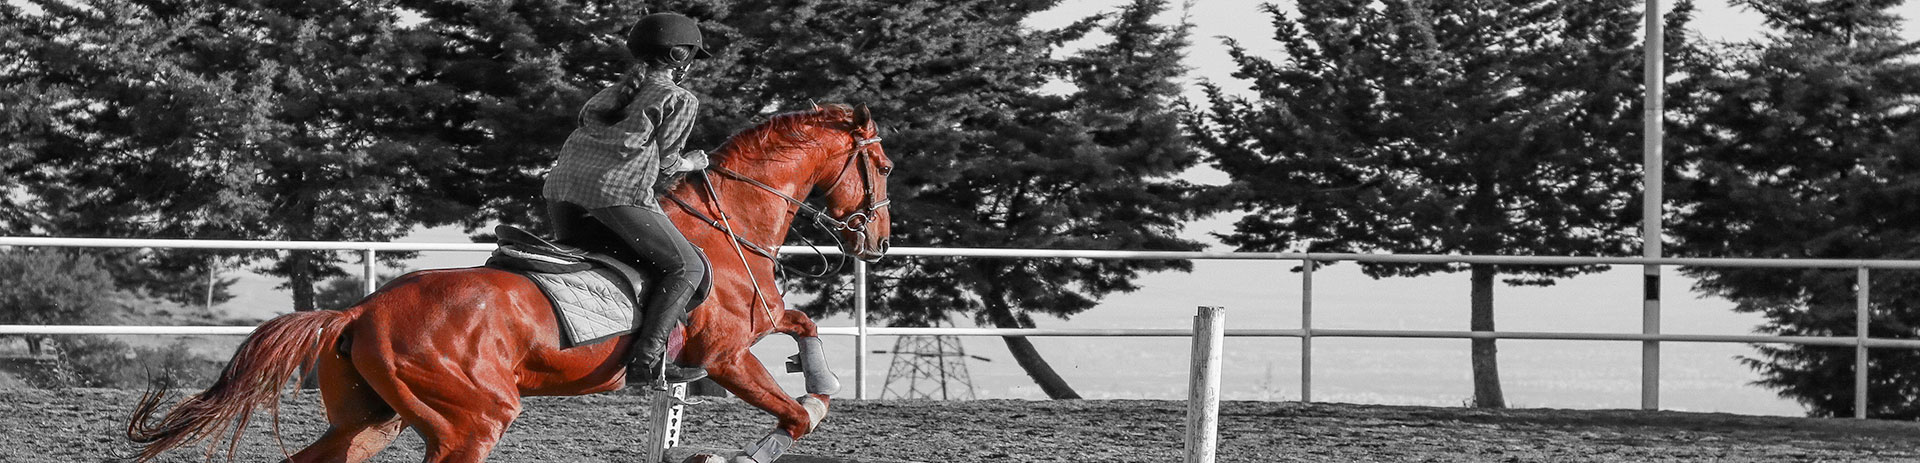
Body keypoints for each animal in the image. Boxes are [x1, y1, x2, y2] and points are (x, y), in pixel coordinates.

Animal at [127, 103, 890, 461]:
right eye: (880, 165)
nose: (877, 241)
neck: (728, 222)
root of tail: (360, 312)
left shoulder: (752, 332)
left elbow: (805, 331)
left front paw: (822, 383)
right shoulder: (725, 356)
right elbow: (793, 417)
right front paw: (743, 446)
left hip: (371, 422)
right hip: (472, 422)